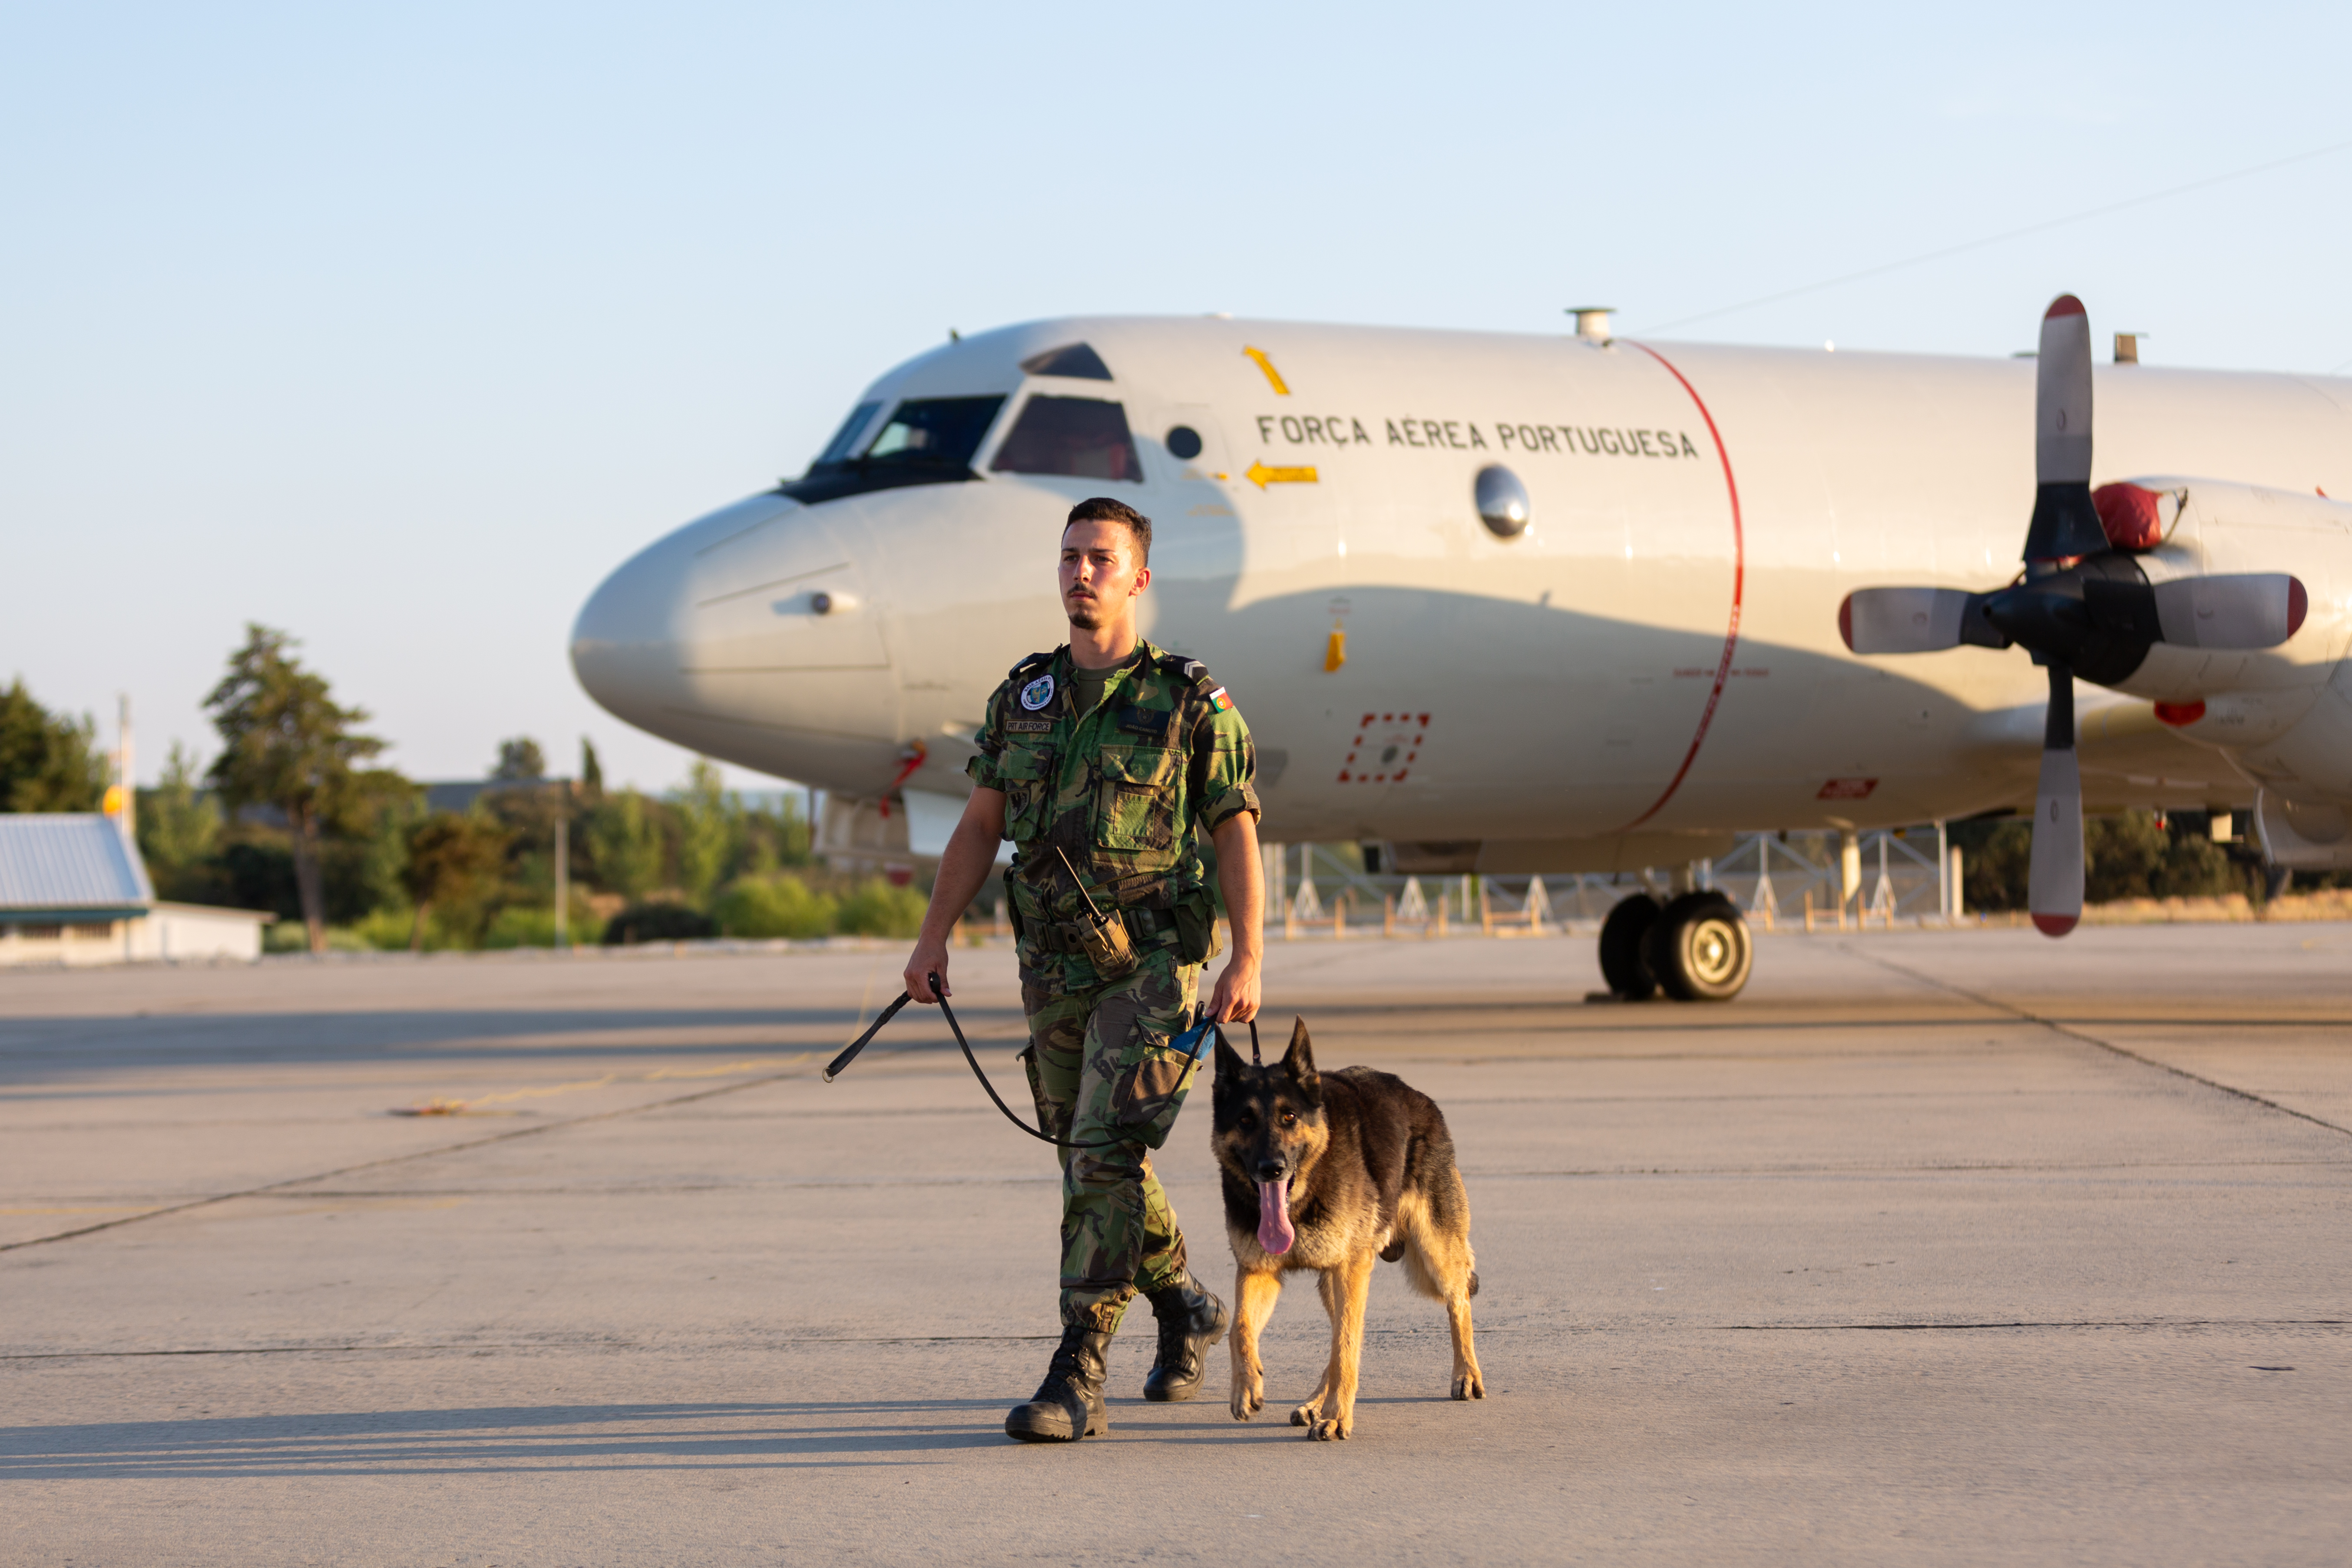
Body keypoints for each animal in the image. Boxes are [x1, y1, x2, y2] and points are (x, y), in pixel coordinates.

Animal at [1223, 1020, 1477, 1448]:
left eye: (1289, 1116)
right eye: (1244, 1121)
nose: (1271, 1169)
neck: (1302, 1198)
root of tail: (1417, 1095)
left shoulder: (1350, 1271)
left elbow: (1345, 1349)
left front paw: (1337, 1419)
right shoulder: (1258, 1272)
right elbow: (1239, 1328)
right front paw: (1246, 1386)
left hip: (1433, 1251)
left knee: (1457, 1301)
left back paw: (1467, 1374)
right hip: (1335, 1279)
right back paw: (1314, 1404)